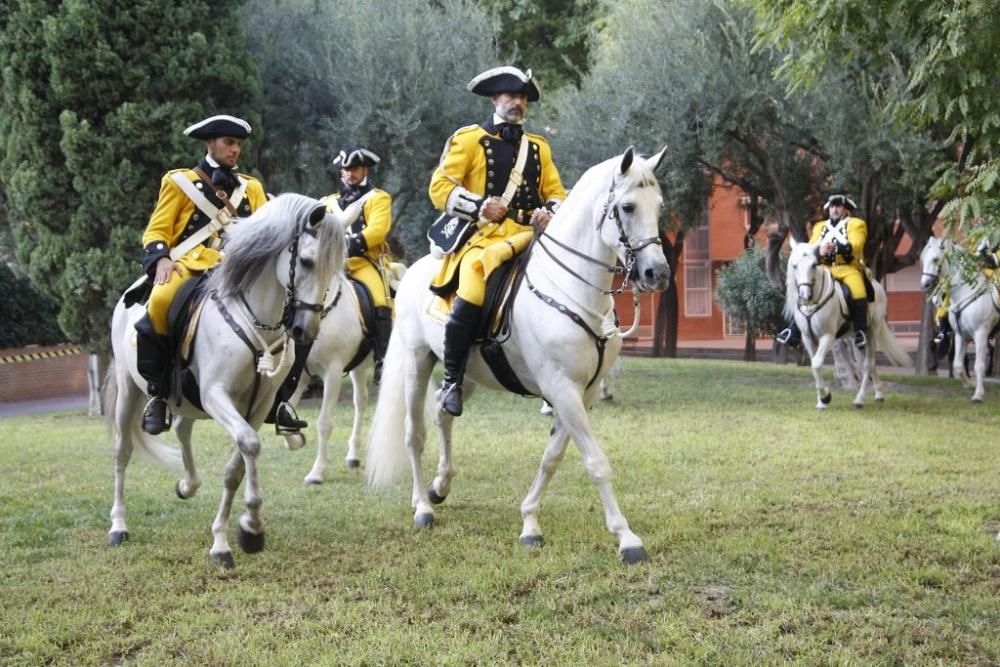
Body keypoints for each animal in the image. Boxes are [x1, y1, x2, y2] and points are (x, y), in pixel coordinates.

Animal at [106, 194, 352, 568]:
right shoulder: (215, 395)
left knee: (182, 429)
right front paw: (249, 527)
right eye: (307, 262)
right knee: (123, 451)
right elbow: (249, 445)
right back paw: (119, 525)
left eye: (337, 267)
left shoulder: (258, 406)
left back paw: (188, 484)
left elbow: (236, 467)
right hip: (129, 388)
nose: (305, 330)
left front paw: (231, 537)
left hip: (188, 400)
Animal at [368, 146, 672, 564]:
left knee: (445, 409)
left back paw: (440, 486)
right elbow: (596, 462)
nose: (657, 273)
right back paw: (422, 507)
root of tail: (413, 271)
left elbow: (552, 457)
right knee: (415, 433)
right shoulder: (562, 388)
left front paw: (530, 522)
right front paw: (627, 538)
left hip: (465, 374)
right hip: (417, 361)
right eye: (627, 207)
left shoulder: (583, 393)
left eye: (658, 206)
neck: (571, 288)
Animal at [784, 240, 912, 408]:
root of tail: (876, 284)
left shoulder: (828, 335)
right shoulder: (807, 337)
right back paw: (878, 393)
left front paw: (825, 397)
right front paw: (821, 401)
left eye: (813, 265)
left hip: (872, 331)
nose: (805, 296)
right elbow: (814, 365)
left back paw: (860, 399)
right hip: (856, 337)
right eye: (794, 266)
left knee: (868, 364)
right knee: (867, 363)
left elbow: (817, 363)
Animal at [920, 236, 1000, 402]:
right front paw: (969, 384)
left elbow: (978, 365)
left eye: (936, 259)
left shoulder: (981, 334)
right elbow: (958, 364)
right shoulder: (959, 335)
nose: (925, 285)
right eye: (923, 258)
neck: (967, 291)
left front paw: (978, 394)